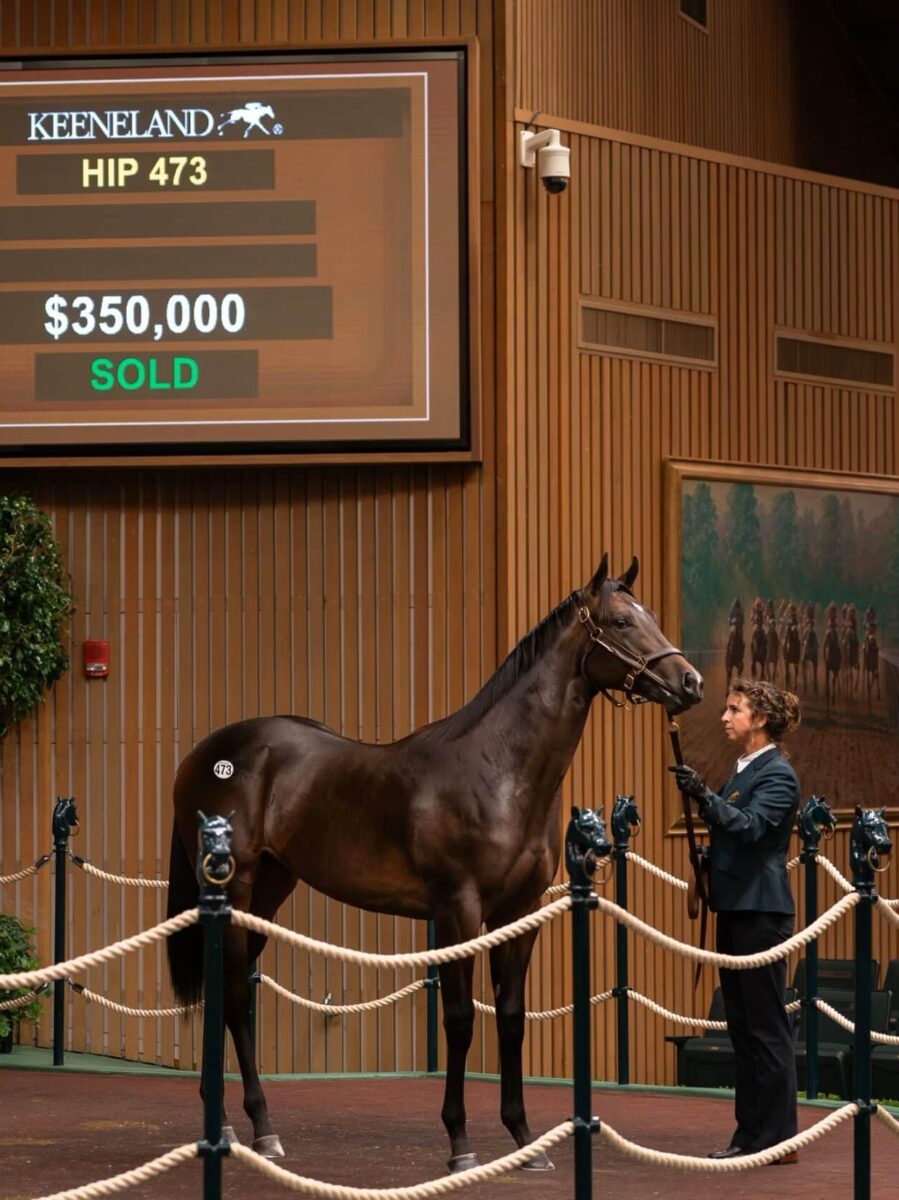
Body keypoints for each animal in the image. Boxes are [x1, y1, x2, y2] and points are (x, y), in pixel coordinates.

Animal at [168, 556, 700, 1166]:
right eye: (619, 621)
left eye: (650, 614)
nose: (690, 683)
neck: (499, 770)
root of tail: (204, 754)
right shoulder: (456, 910)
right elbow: (462, 1018)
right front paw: (460, 1142)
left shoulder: (519, 913)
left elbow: (510, 1017)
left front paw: (524, 1140)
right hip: (238, 888)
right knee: (233, 994)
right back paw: (249, 1129)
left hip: (269, 891)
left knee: (226, 992)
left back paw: (241, 1125)